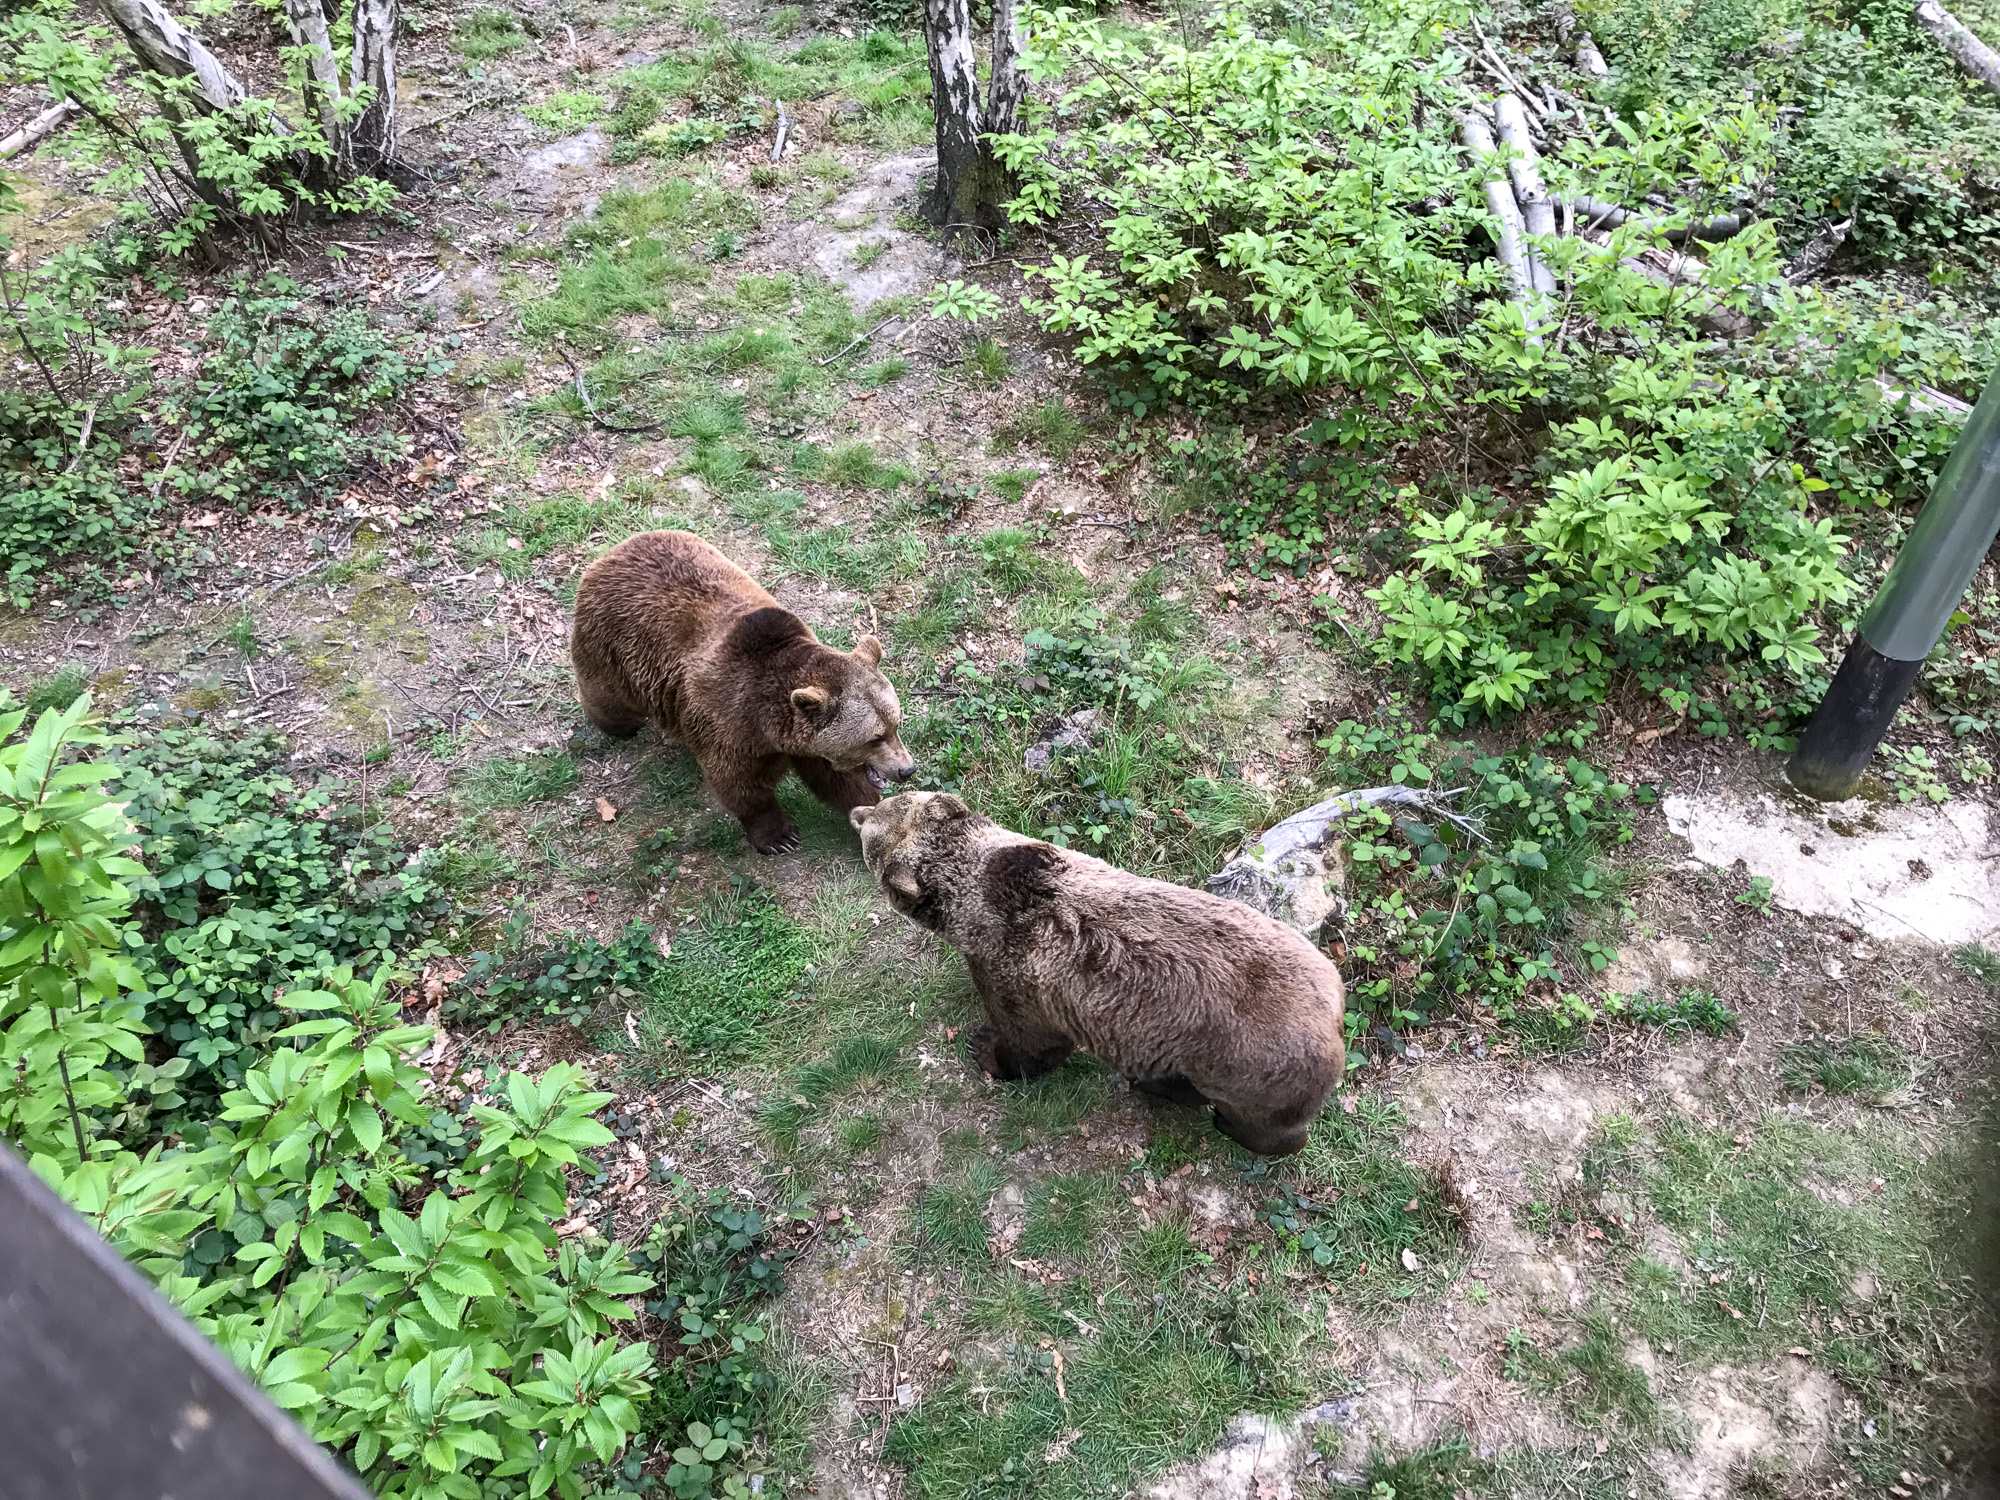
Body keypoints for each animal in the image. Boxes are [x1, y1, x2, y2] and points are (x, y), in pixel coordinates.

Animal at [572, 530, 916, 853]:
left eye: (895, 724)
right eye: (874, 738)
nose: (907, 769)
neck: (768, 723)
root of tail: (611, 554)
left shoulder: (807, 742)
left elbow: (837, 779)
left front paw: (873, 811)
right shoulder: (729, 722)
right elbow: (740, 786)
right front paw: (778, 836)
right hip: (614, 649)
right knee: (606, 698)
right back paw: (620, 726)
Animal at [849, 790, 1347, 1156]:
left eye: (868, 834)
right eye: (887, 803)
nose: (856, 810)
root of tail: (1336, 1012)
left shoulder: (1014, 970)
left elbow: (1033, 1043)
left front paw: (986, 1049)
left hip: (1249, 1068)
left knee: (1262, 1122)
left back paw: (1233, 1126)